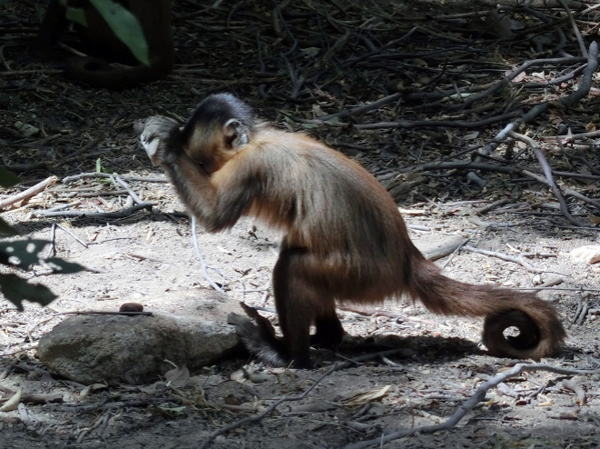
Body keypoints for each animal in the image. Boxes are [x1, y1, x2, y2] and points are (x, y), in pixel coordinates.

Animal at [135, 93, 564, 368]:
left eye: (196, 154)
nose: (197, 162)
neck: (254, 140)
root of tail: (409, 260)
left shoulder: (251, 165)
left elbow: (214, 218)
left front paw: (165, 143)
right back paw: (325, 338)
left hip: (363, 278)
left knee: (292, 265)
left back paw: (290, 357)